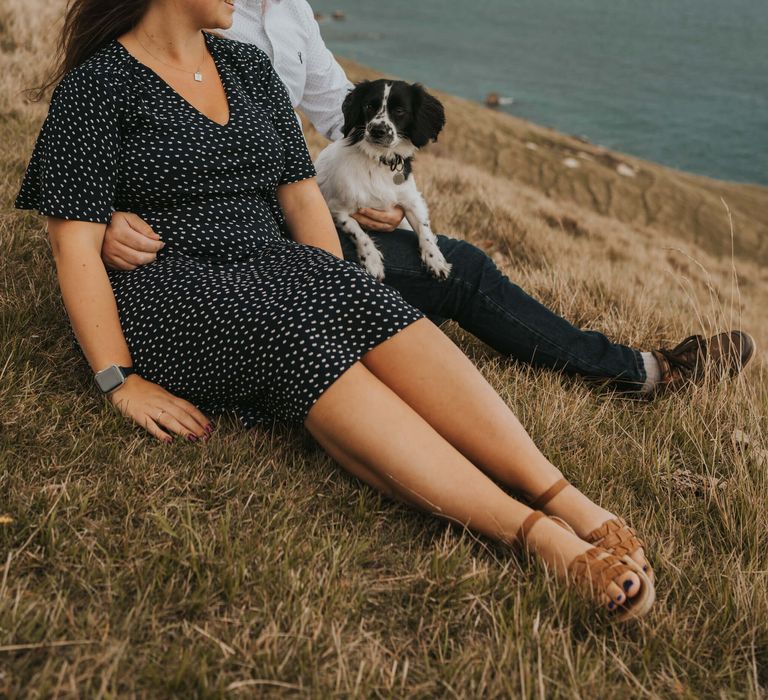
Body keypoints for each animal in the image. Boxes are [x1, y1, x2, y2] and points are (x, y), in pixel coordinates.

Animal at [316, 78, 452, 282]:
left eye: (399, 110)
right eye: (368, 106)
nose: (377, 130)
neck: (379, 159)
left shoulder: (411, 199)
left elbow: (424, 228)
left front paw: (435, 259)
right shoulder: (337, 208)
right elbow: (357, 230)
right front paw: (372, 260)